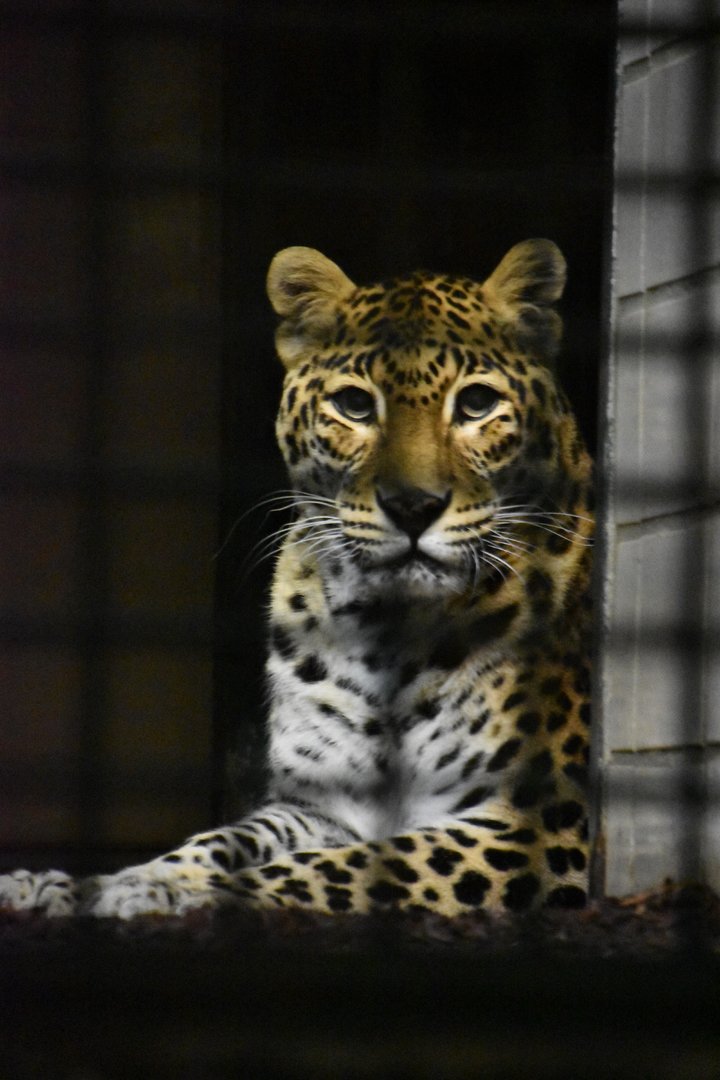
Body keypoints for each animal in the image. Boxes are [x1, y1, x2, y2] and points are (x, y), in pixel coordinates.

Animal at [0, 238, 594, 920]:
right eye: (355, 405)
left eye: (476, 405)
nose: (413, 505)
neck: (390, 629)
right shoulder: (321, 804)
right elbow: (226, 840)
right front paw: (78, 884)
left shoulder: (538, 826)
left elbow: (341, 870)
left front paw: (153, 893)